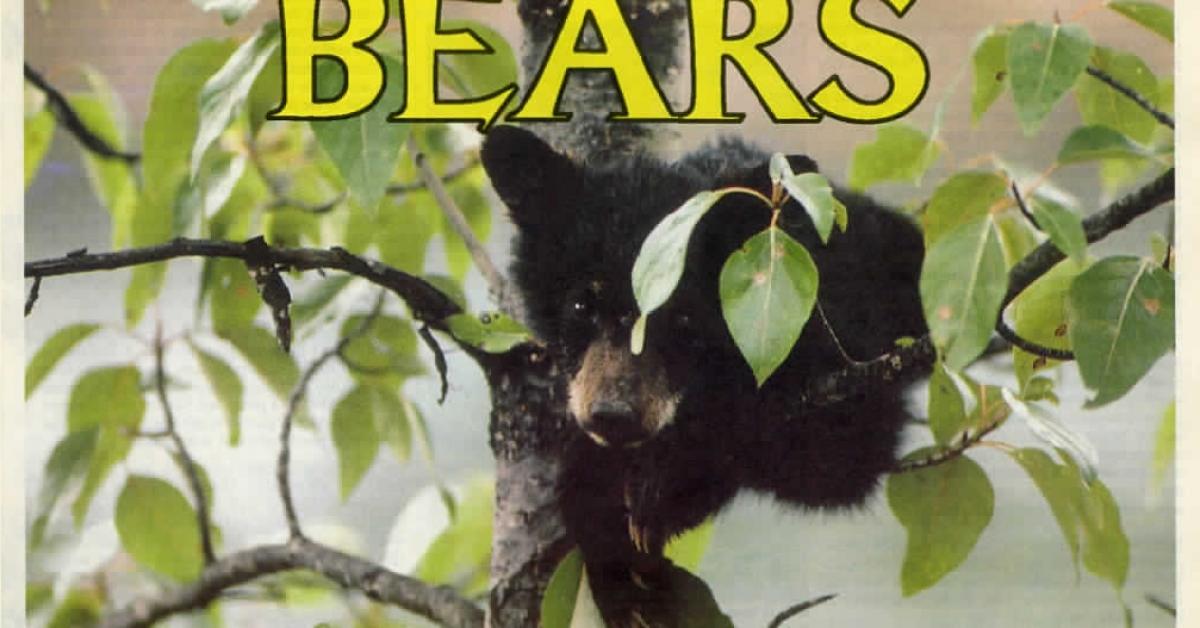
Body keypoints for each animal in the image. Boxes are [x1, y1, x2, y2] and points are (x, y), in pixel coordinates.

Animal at [480, 125, 927, 625]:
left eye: (682, 318)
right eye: (581, 305)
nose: (614, 415)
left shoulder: (839, 343)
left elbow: (828, 456)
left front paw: (661, 483)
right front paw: (617, 564)